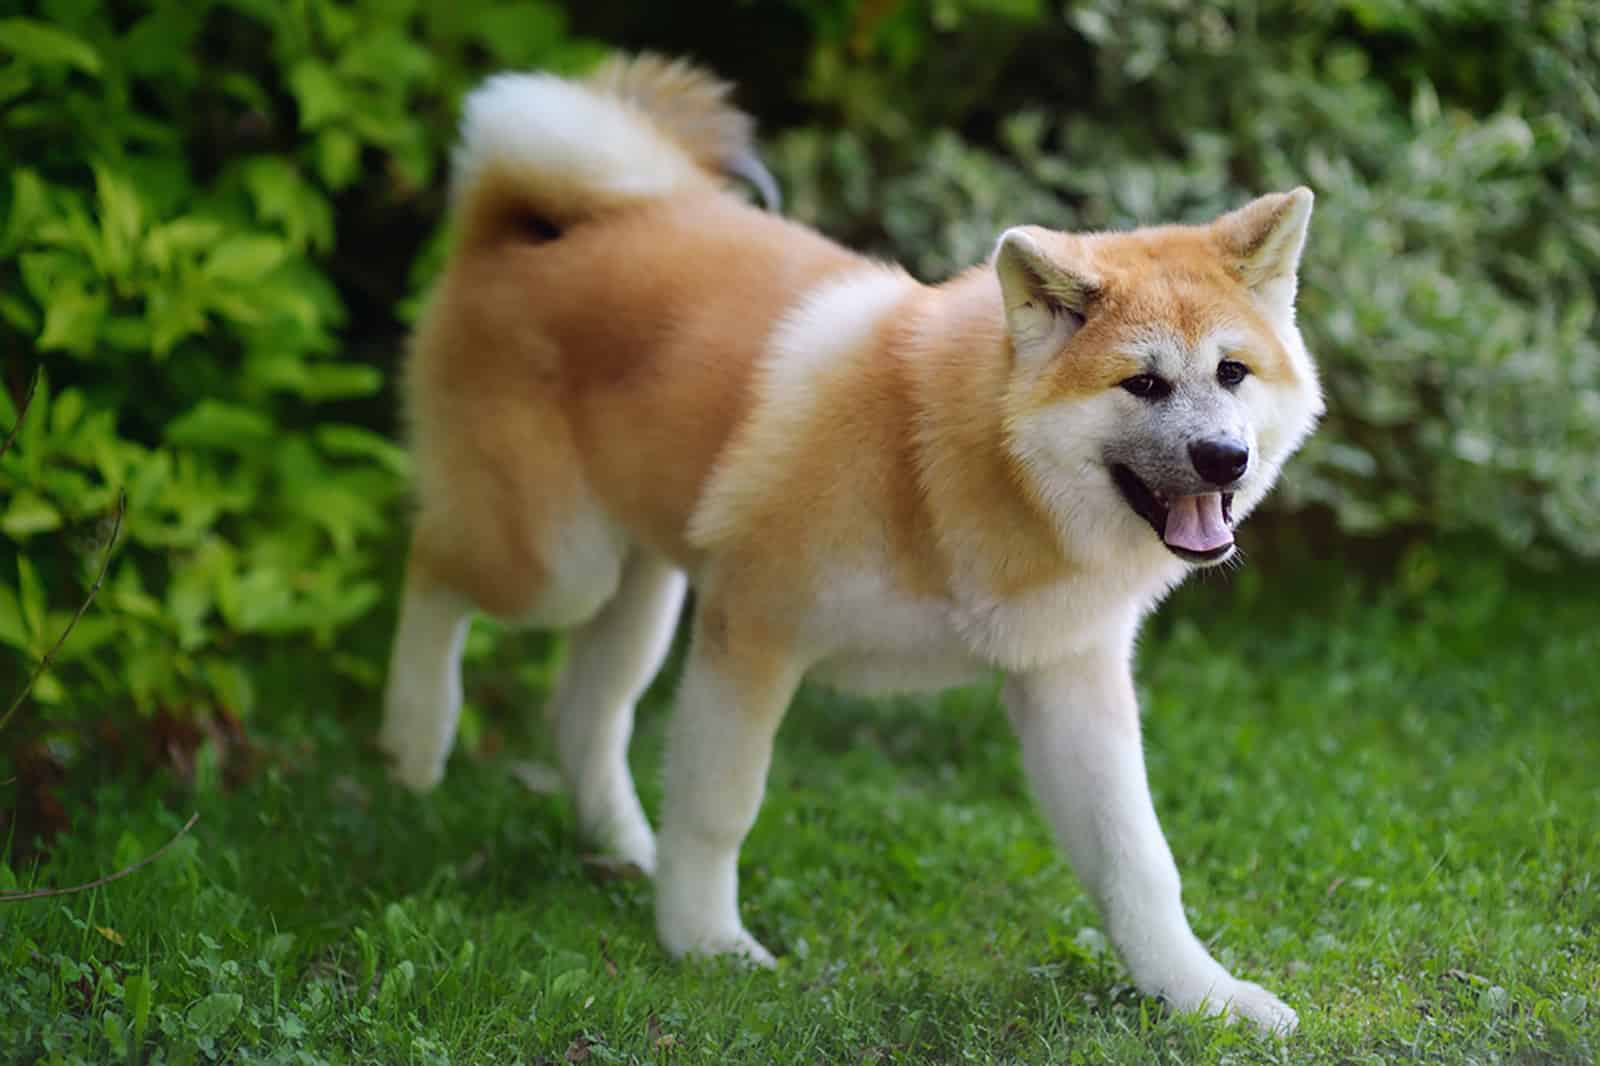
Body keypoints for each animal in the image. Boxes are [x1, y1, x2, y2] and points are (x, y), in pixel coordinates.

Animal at [380, 54, 1318, 1030]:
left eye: (1232, 372)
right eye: (1142, 383)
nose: (1225, 458)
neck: (947, 468)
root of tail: (521, 227)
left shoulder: (1068, 678)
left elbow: (1138, 863)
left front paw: (1201, 993)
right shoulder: (751, 637)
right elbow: (720, 809)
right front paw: (705, 945)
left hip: (641, 584)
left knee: (583, 711)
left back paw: (626, 846)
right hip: (557, 563)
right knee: (432, 564)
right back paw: (415, 736)